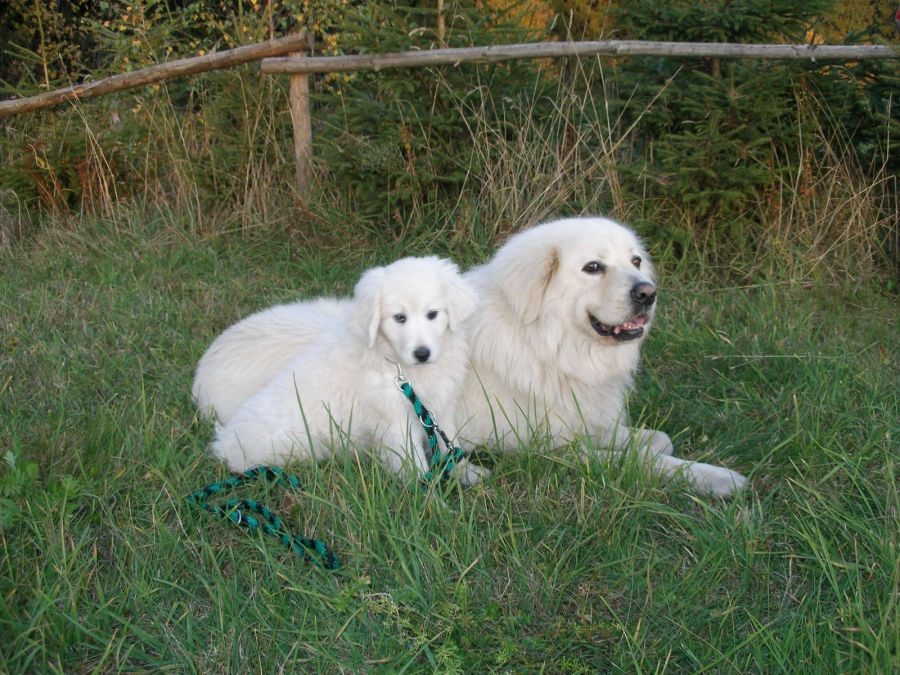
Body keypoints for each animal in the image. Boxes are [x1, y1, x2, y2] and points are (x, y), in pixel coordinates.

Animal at [204, 256, 485, 484]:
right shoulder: (394, 423)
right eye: (399, 318)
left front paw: (466, 473)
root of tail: (224, 442)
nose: (422, 354)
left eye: (433, 314)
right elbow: (413, 465)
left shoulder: (439, 409)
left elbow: (450, 443)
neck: (397, 365)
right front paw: (428, 499)